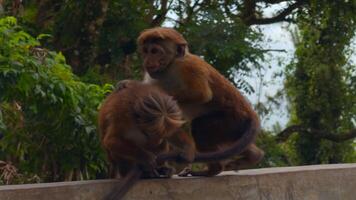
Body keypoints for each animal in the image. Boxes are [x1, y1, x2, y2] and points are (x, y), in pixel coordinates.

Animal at [135, 27, 262, 177]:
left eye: (155, 51)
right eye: (146, 51)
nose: (147, 61)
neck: (170, 67)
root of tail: (250, 113)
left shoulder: (188, 67)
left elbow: (202, 94)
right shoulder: (152, 75)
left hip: (231, 121)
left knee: (199, 126)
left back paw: (213, 169)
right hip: (236, 128)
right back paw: (254, 156)